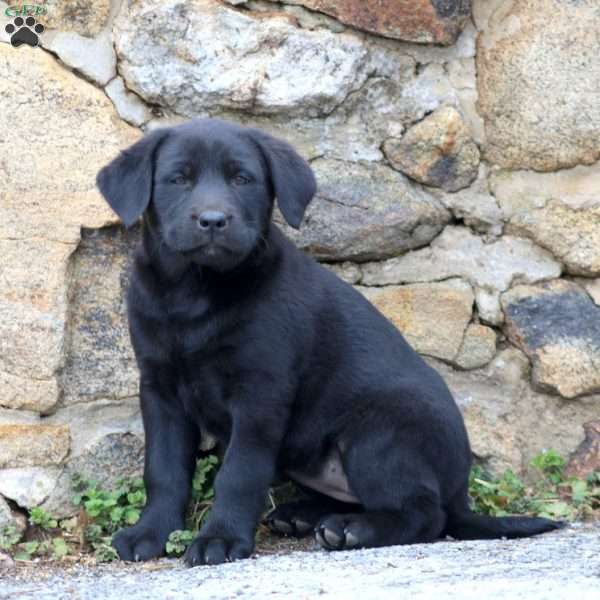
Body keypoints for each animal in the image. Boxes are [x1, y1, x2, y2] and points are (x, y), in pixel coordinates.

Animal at [98, 118, 564, 568]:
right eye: (178, 178)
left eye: (242, 179)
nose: (213, 220)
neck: (193, 292)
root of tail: (460, 491)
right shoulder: (159, 389)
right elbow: (164, 470)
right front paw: (151, 533)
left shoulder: (260, 394)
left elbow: (239, 473)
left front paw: (221, 538)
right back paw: (302, 515)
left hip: (381, 429)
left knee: (425, 513)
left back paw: (350, 529)